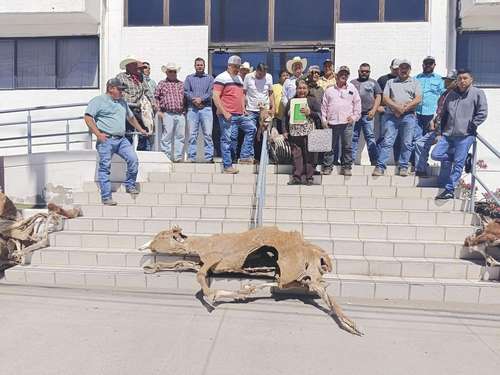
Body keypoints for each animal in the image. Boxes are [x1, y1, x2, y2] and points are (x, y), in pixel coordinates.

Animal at [139, 225, 362, 336]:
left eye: (161, 235)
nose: (145, 246)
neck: (201, 244)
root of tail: (318, 253)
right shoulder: (202, 262)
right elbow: (181, 263)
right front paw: (151, 267)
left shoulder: (213, 259)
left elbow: (201, 278)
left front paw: (214, 297)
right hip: (299, 275)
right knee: (297, 284)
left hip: (296, 272)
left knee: (315, 289)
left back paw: (351, 325)